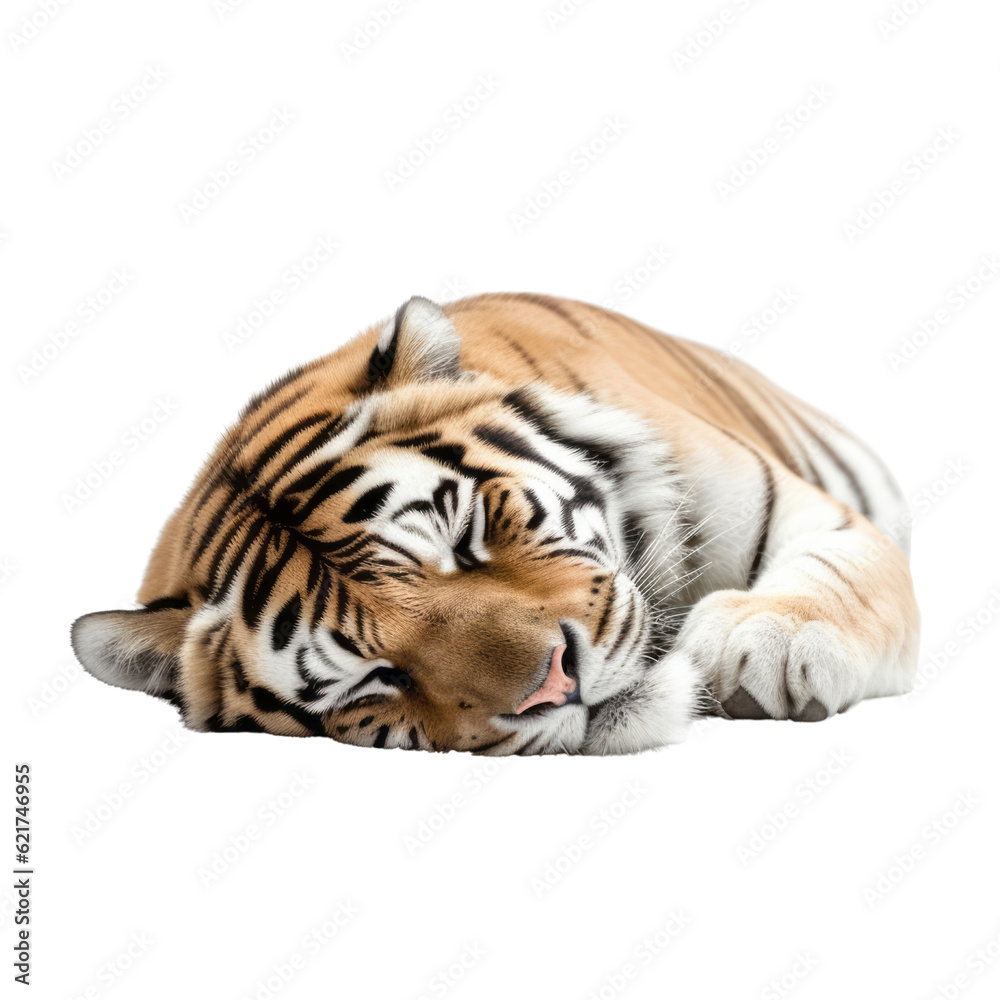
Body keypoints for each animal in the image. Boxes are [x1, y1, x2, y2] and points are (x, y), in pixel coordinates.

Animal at [71, 292, 920, 755]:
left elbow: (838, 574)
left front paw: (768, 643)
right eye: (377, 677)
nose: (558, 684)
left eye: (464, 539)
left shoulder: (812, 514)